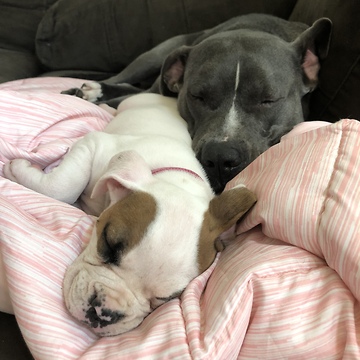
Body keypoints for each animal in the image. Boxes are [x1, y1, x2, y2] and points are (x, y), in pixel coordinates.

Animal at [2, 93, 256, 338]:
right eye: (107, 243)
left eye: (162, 299)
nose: (103, 313)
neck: (173, 176)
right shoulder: (93, 145)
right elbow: (64, 187)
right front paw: (18, 169)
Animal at [63, 13, 334, 194]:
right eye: (197, 96)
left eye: (268, 99)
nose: (221, 157)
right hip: (156, 55)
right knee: (124, 82)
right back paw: (89, 90)